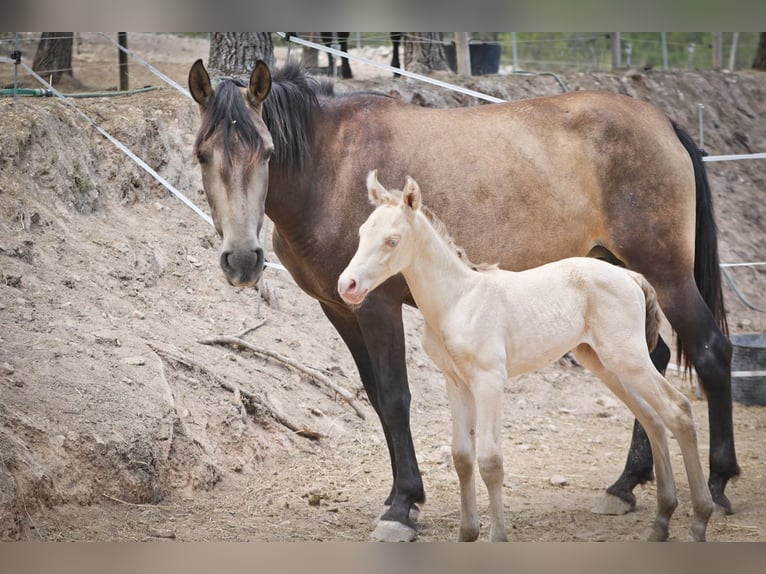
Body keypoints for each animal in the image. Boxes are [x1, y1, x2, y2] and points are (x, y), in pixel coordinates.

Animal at [340, 172, 716, 544]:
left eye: (392, 240)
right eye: (361, 233)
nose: (347, 285)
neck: (459, 300)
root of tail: (629, 275)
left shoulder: (490, 379)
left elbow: (491, 460)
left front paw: (498, 536)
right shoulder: (455, 381)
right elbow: (462, 457)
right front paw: (467, 533)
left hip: (629, 357)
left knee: (677, 409)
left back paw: (700, 519)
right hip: (603, 362)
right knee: (653, 417)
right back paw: (661, 522)